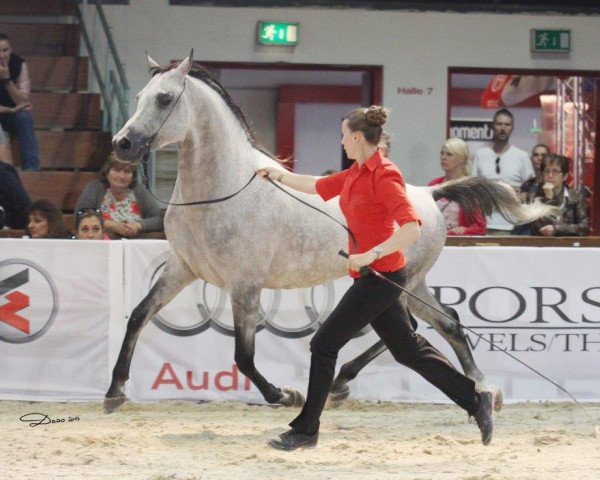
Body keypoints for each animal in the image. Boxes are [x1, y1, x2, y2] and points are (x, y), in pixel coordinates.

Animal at [104, 51, 556, 412]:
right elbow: (139, 315)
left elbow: (244, 356)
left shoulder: (245, 284)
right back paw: (482, 389)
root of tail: (429, 195)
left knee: (412, 329)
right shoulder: (182, 269)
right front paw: (115, 391)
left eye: (165, 98)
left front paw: (285, 395)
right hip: (411, 283)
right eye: (139, 97)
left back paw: (350, 384)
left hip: (396, 283)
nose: (122, 144)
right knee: (445, 323)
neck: (223, 191)